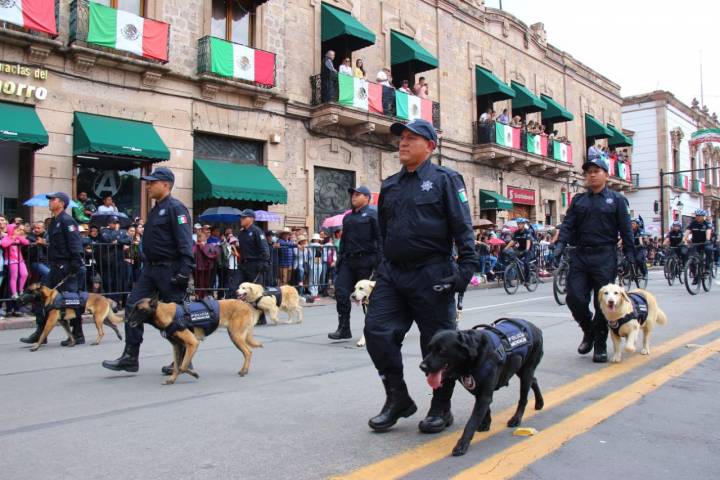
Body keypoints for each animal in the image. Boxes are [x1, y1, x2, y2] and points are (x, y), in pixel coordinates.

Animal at [128, 296, 262, 386]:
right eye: (133, 309)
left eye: (139, 310)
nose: (128, 321)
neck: (166, 314)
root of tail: (245, 304)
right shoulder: (177, 346)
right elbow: (177, 366)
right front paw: (172, 379)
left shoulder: (193, 343)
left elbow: (182, 366)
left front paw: (194, 374)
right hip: (235, 337)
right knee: (247, 352)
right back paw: (245, 370)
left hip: (236, 336)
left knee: (248, 352)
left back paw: (243, 371)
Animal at [420, 316, 544, 456]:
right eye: (429, 348)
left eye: (441, 351)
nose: (422, 366)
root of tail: (535, 328)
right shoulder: (479, 391)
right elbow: (485, 410)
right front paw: (486, 424)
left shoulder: (484, 395)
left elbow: (471, 422)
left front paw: (462, 444)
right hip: (521, 369)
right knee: (534, 380)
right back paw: (539, 402)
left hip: (526, 371)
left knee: (523, 398)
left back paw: (516, 418)